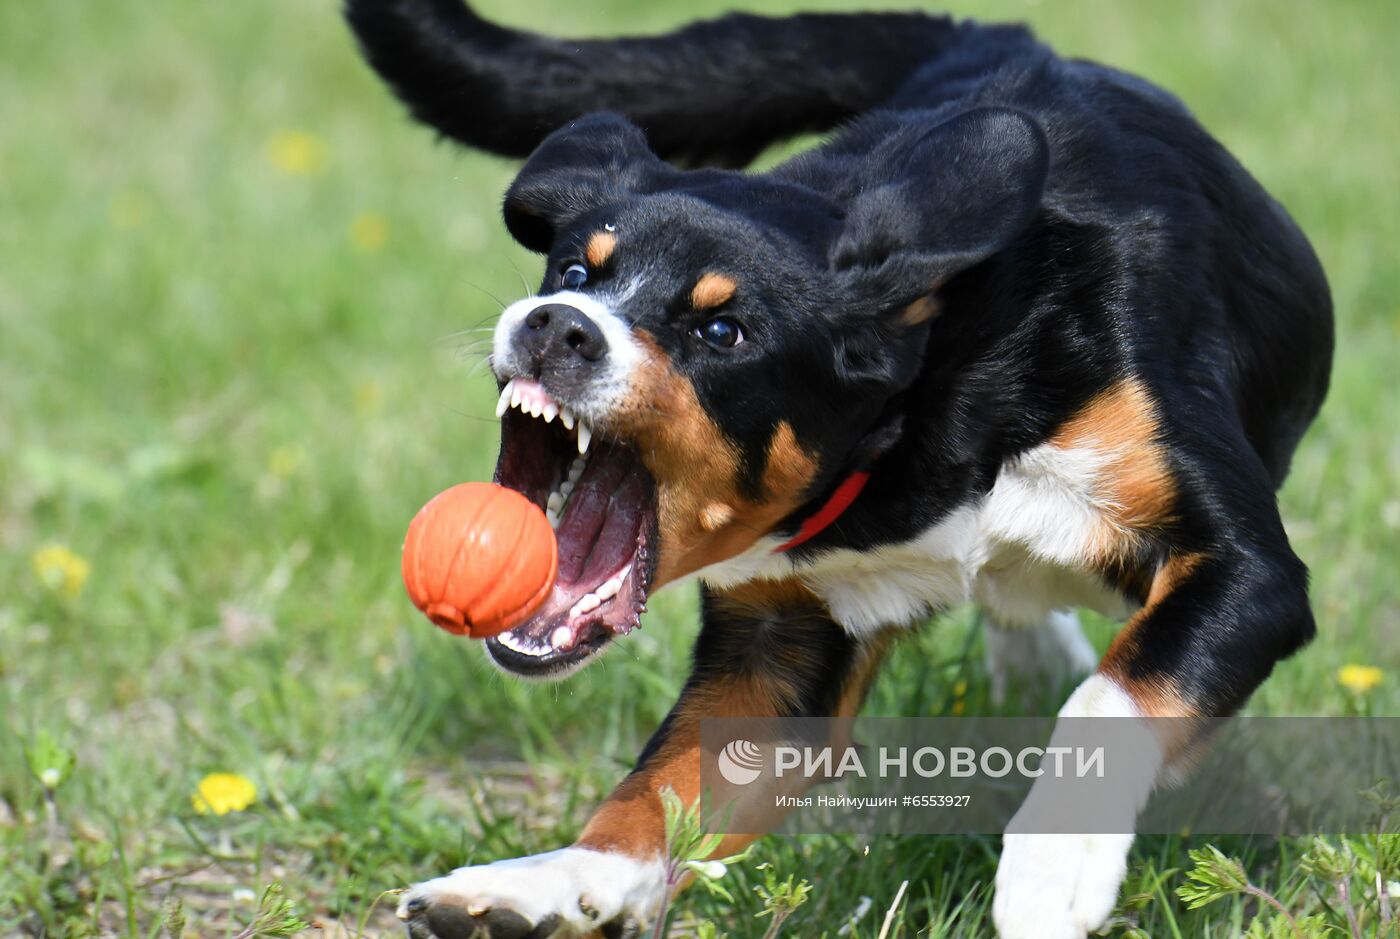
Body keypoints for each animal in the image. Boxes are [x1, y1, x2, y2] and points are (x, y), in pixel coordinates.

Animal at [347, 3, 1332, 934]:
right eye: (573, 272)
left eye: (723, 330)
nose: (556, 325)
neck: (926, 413)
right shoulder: (780, 638)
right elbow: (660, 787)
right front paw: (544, 884)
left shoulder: (1244, 569)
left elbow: (1116, 694)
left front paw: (1053, 865)